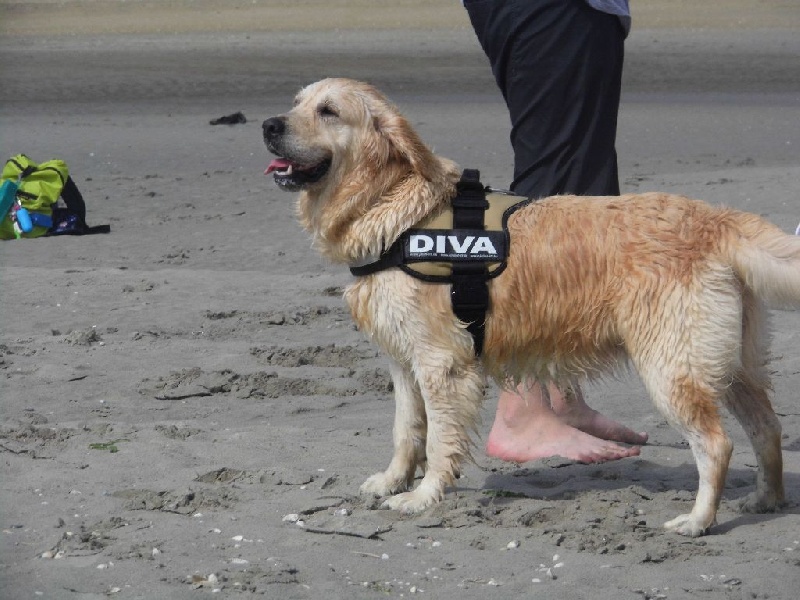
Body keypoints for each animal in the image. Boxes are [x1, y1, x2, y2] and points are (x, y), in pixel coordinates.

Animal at [262, 78, 800, 536]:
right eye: (296, 102)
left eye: (328, 111)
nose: (269, 125)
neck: (396, 212)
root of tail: (715, 218)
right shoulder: (402, 362)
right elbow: (406, 430)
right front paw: (393, 481)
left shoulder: (442, 364)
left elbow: (438, 440)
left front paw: (424, 496)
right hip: (730, 363)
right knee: (767, 427)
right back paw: (766, 499)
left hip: (672, 367)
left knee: (717, 443)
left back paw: (699, 519)